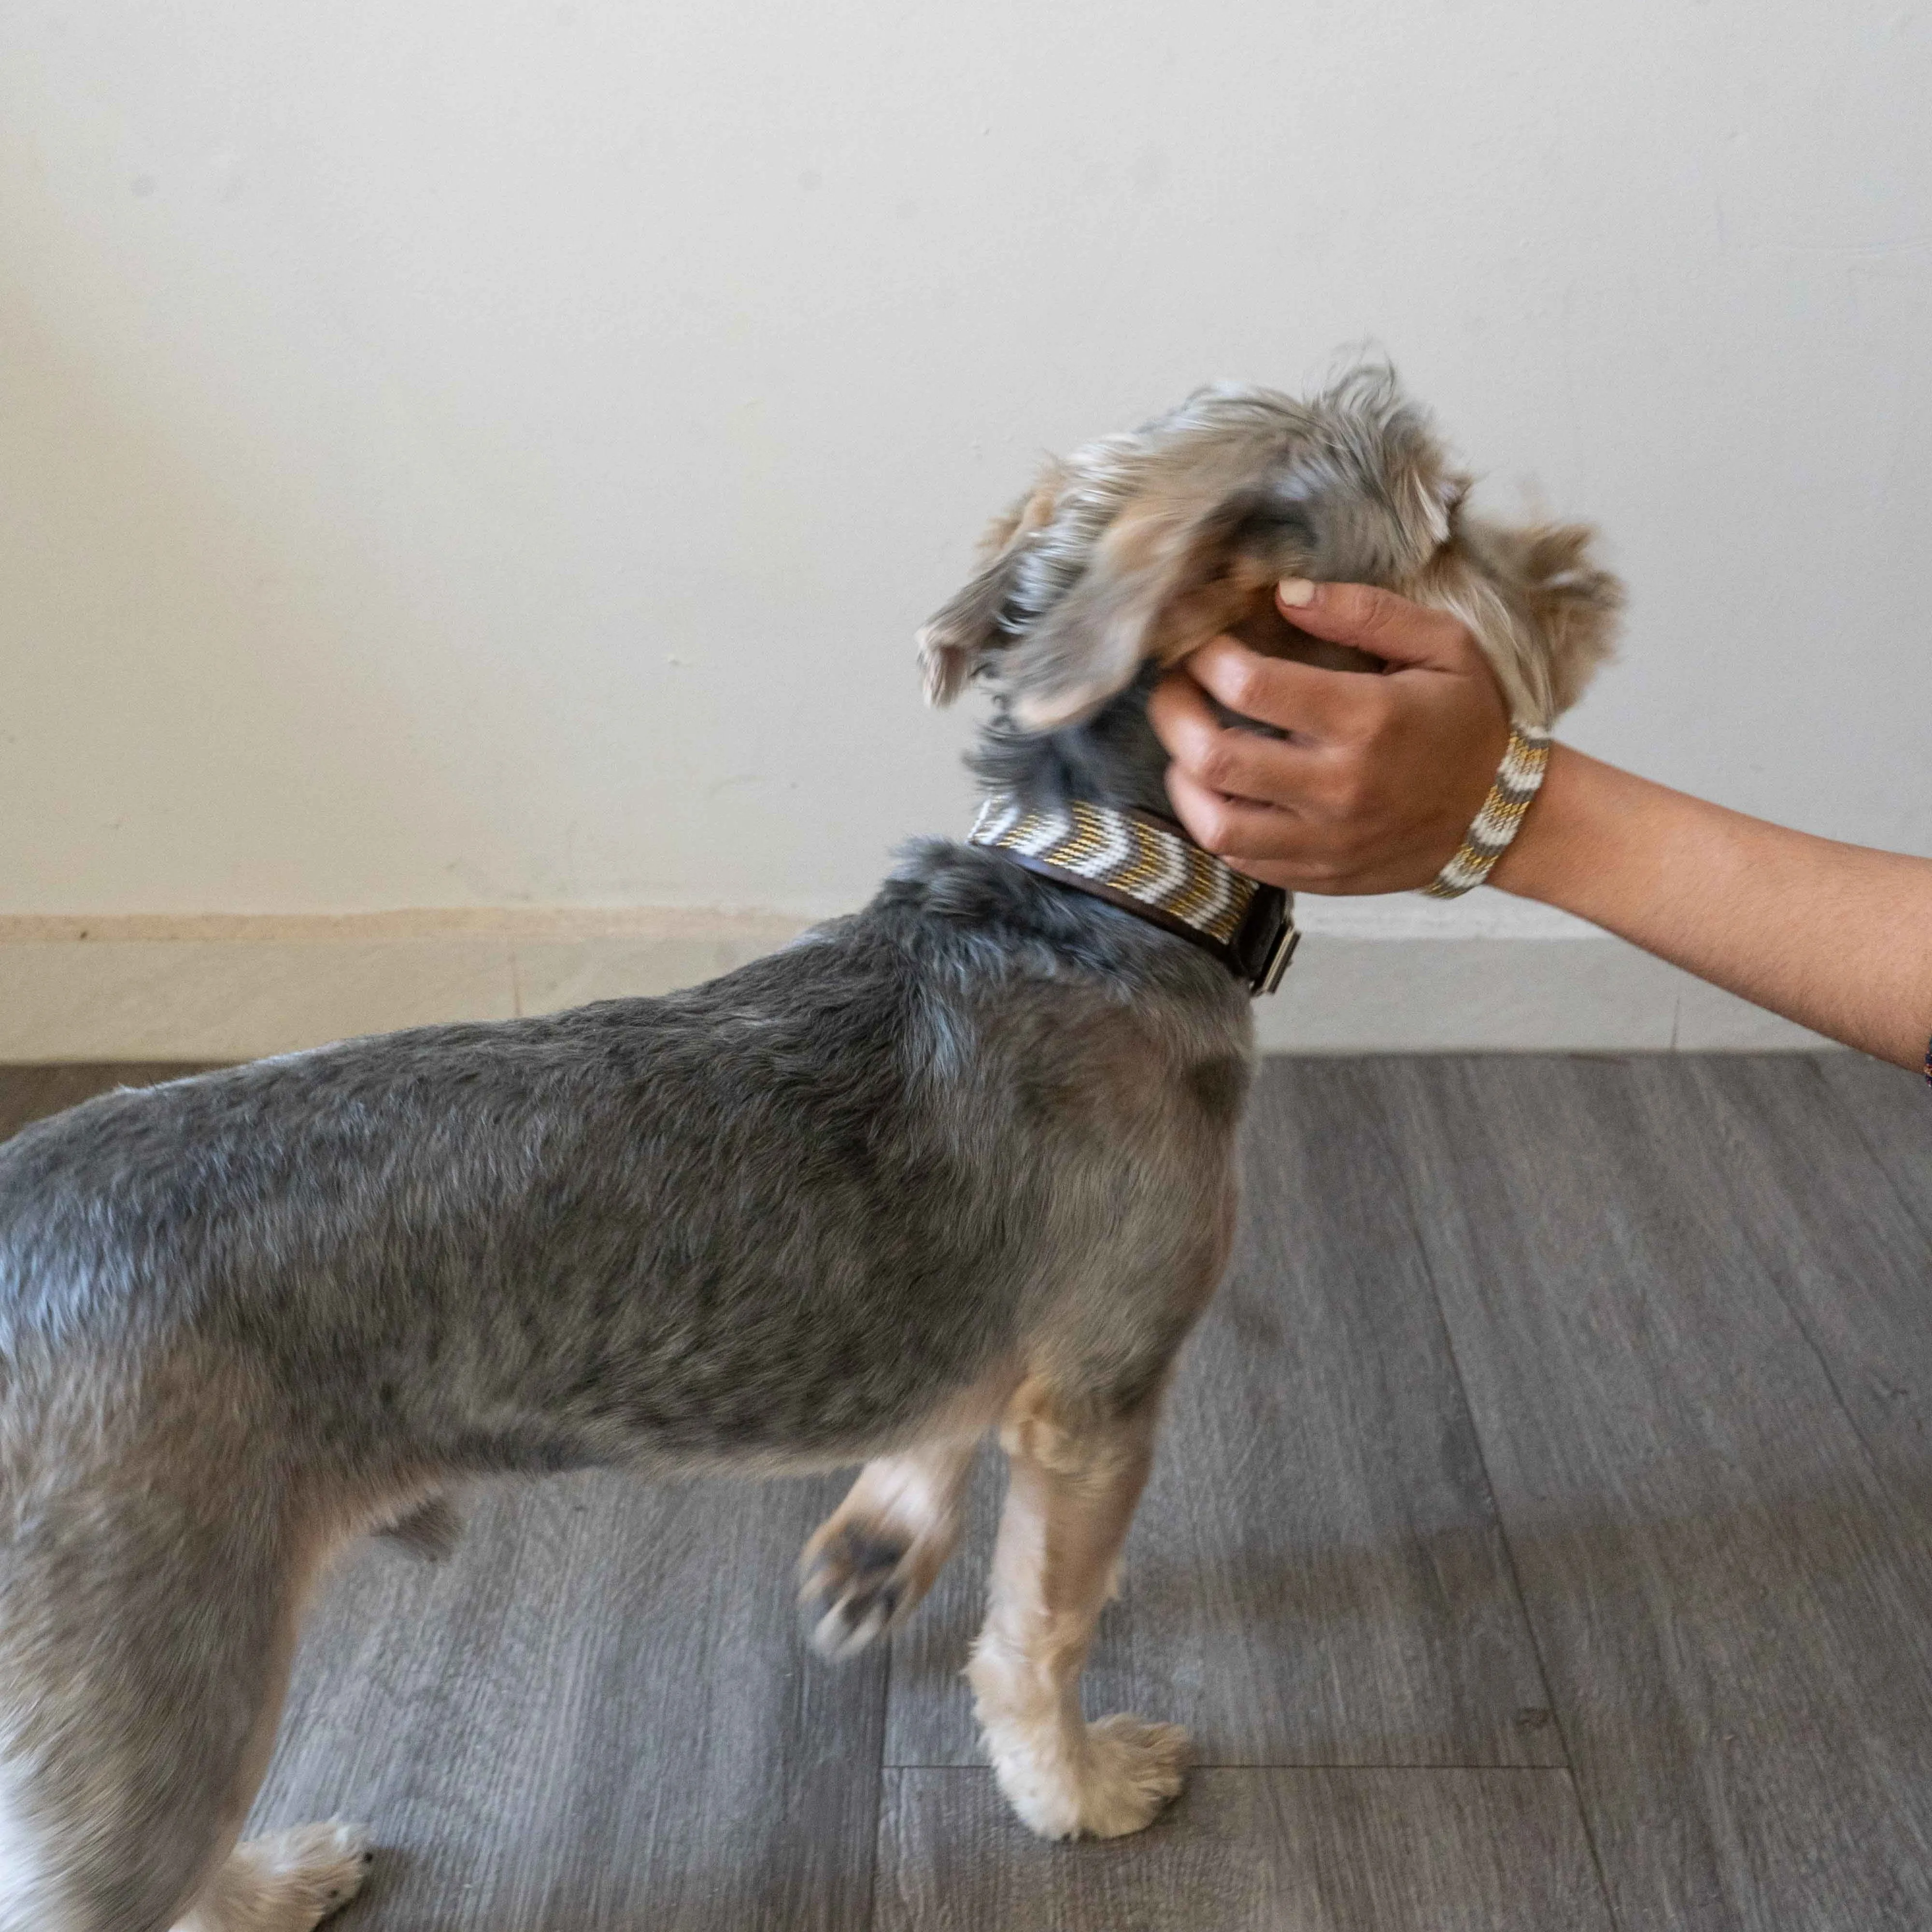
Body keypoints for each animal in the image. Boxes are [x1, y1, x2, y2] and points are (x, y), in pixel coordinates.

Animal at [0, 365, 1615, 1932]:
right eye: (1450, 519)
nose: (1588, 572)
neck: (1110, 894)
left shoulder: (984, 1328)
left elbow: (937, 1421)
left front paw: (875, 1549)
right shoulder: (1103, 1385)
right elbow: (1041, 1626)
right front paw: (1082, 1786)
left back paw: (271, 1883)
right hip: (148, 1642)